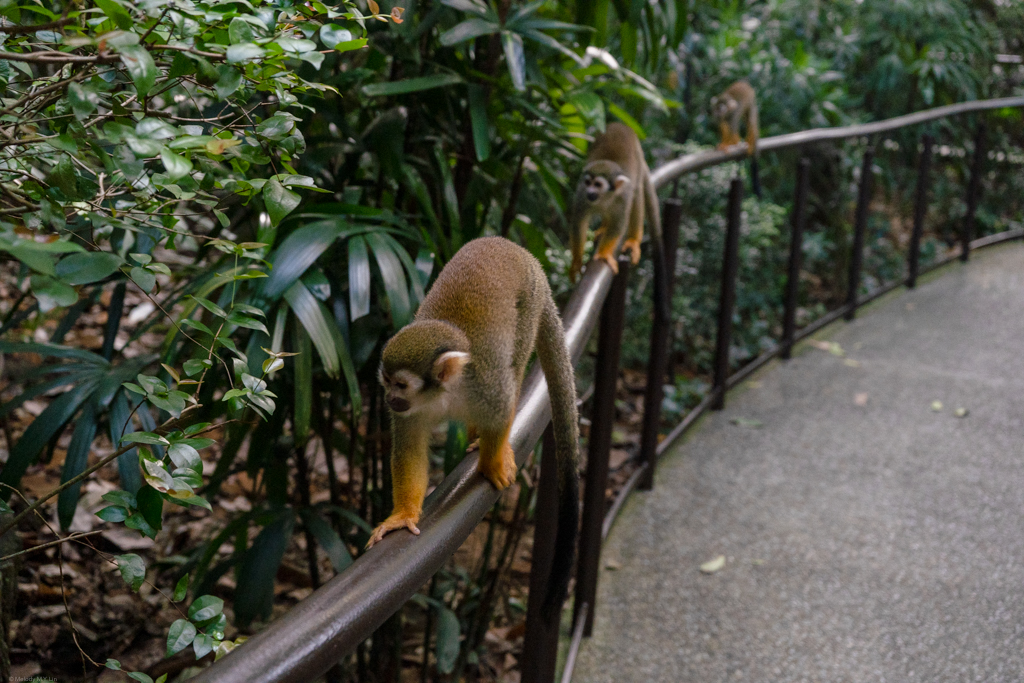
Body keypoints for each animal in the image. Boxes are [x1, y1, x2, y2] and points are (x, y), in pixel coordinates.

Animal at [370, 239, 581, 614]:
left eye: (402, 385)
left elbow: (501, 409)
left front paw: (491, 461)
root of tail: (525, 254)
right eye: (387, 382)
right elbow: (409, 451)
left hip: (530, 297)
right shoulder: (411, 412)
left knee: (516, 359)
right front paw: (403, 515)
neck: (445, 393)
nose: (389, 399)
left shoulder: (485, 385)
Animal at [569, 120, 663, 282]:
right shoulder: (581, 193)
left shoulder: (623, 197)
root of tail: (621, 124)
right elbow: (579, 222)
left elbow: (618, 224)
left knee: (637, 194)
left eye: (598, 184)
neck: (604, 197)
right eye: (588, 182)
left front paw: (603, 255)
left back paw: (633, 240)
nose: (590, 192)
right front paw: (576, 262)